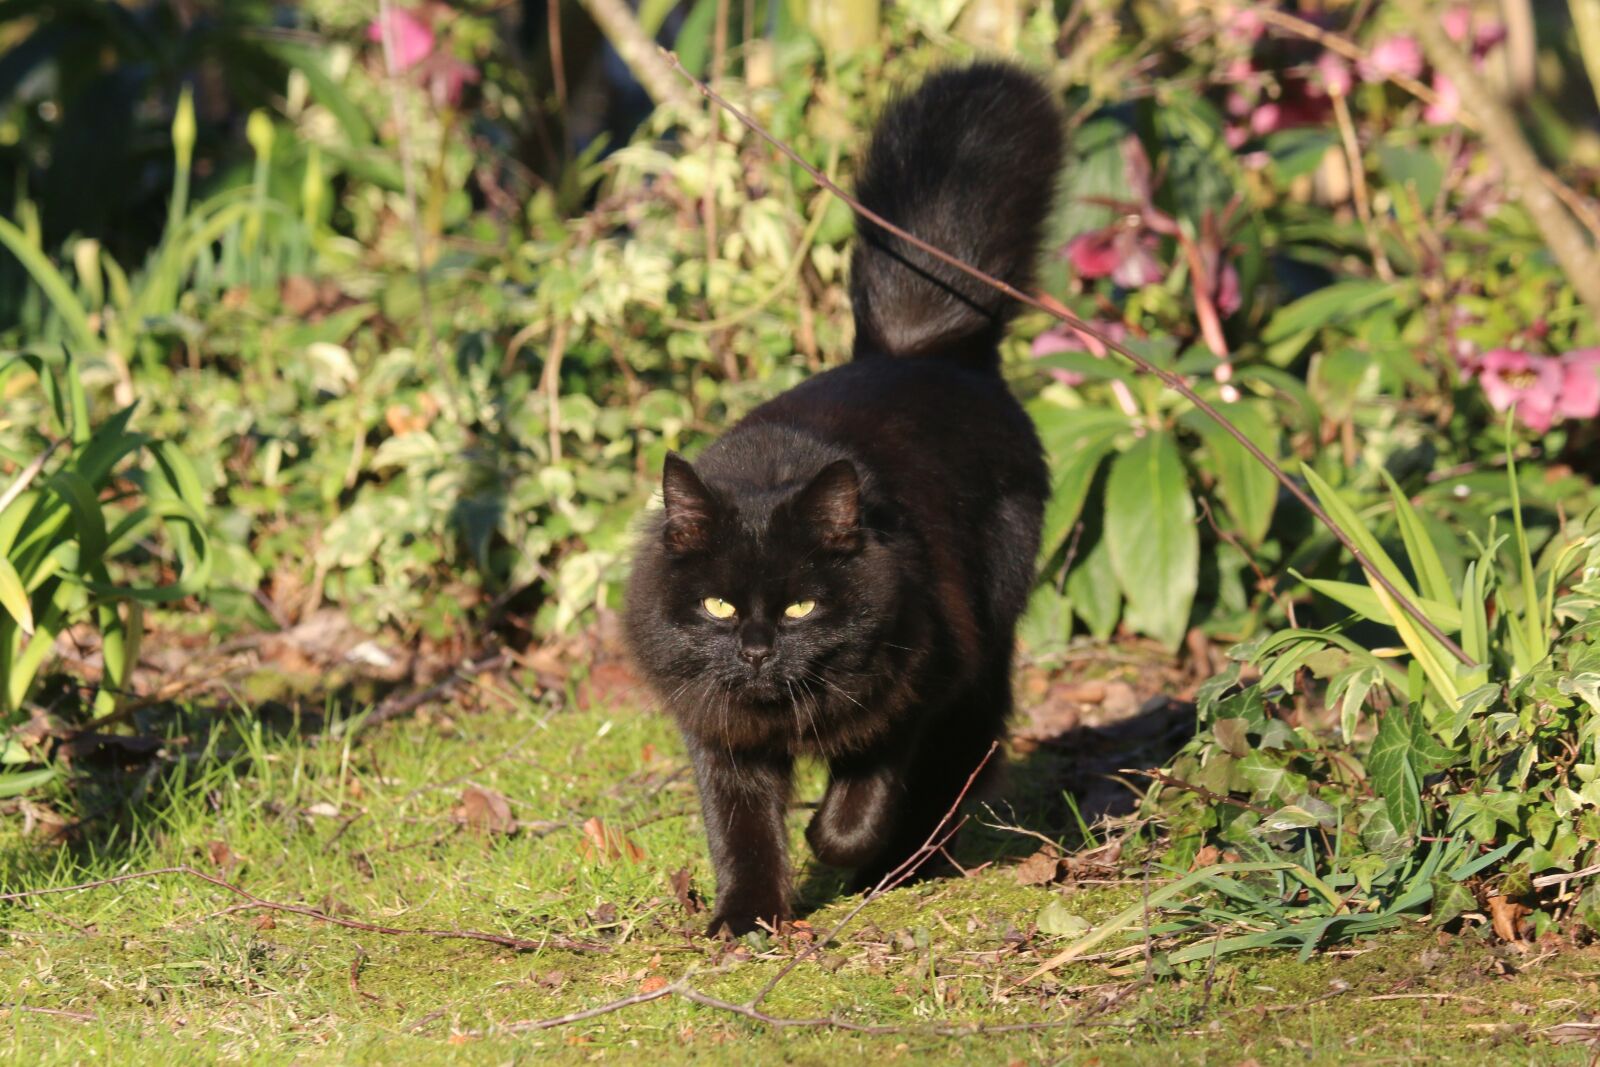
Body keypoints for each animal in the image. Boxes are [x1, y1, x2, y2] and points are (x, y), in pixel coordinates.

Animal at [624, 62, 1062, 940]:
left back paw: (903, 866)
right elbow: (741, 830)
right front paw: (747, 917)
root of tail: (927, 350)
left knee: (966, 757)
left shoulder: (918, 680)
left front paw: (835, 843)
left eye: (800, 607)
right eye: (720, 607)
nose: (757, 650)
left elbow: (866, 786)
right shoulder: (719, 734)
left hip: (986, 644)